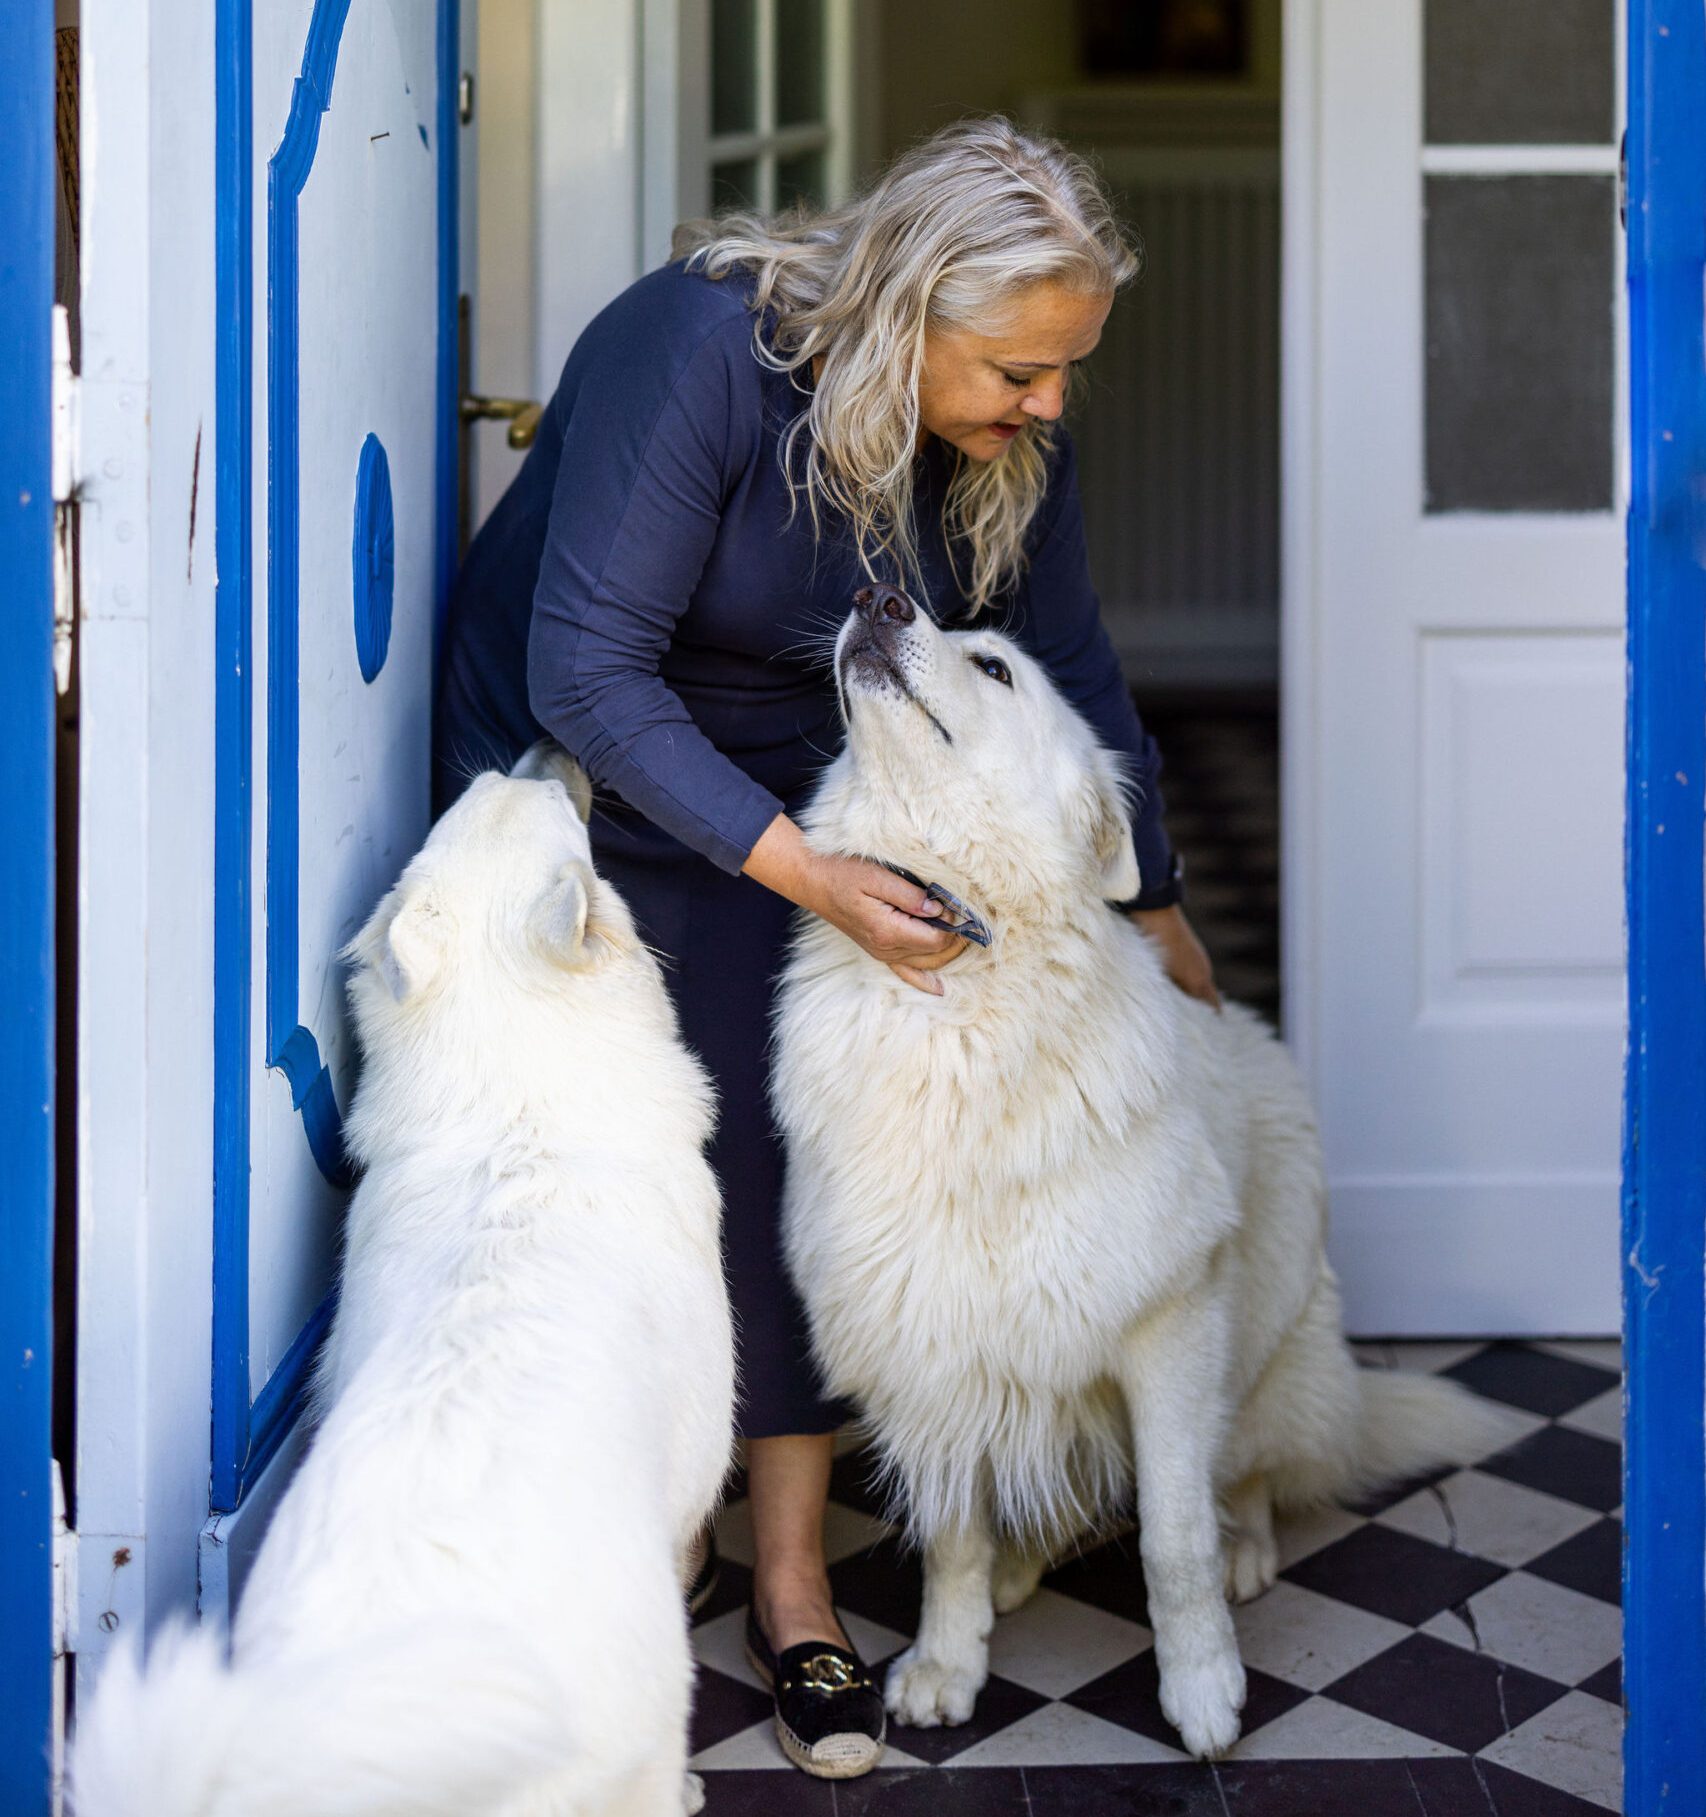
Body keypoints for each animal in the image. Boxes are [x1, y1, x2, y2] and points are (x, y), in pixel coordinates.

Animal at [766, 595, 1504, 1758]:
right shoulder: (927, 1333)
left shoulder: (1169, 1327)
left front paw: (1202, 1692)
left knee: (1240, 1478)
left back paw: (1247, 1548)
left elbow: (1171, 1533)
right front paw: (947, 1662)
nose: (880, 598)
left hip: (1265, 1350)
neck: (963, 1001)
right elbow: (950, 1535)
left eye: (994, 665)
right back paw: (1018, 1570)